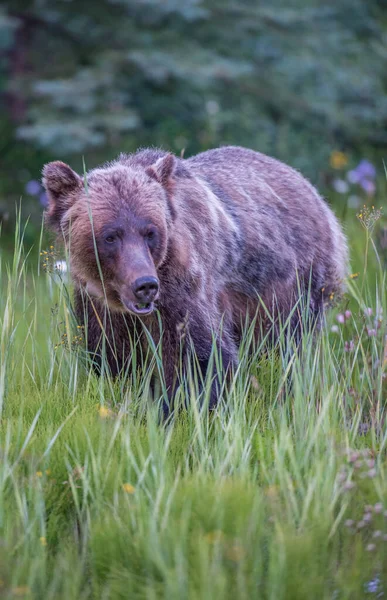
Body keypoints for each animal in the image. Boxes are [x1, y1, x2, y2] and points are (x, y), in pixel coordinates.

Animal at [42, 146, 348, 412]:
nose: (145, 285)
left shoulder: (182, 287)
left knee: (287, 344)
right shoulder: (99, 305)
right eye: (110, 236)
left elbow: (197, 356)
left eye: (150, 232)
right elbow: (111, 357)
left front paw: (172, 409)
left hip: (291, 282)